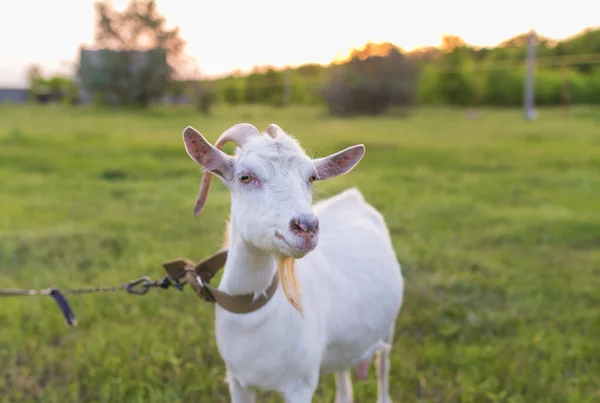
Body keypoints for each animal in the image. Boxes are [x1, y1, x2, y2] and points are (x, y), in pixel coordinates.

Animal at [182, 124, 404, 403]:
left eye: (311, 178)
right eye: (245, 177)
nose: (306, 227)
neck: (254, 317)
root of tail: (353, 198)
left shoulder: (300, 385)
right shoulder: (238, 381)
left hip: (388, 329)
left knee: (382, 365)